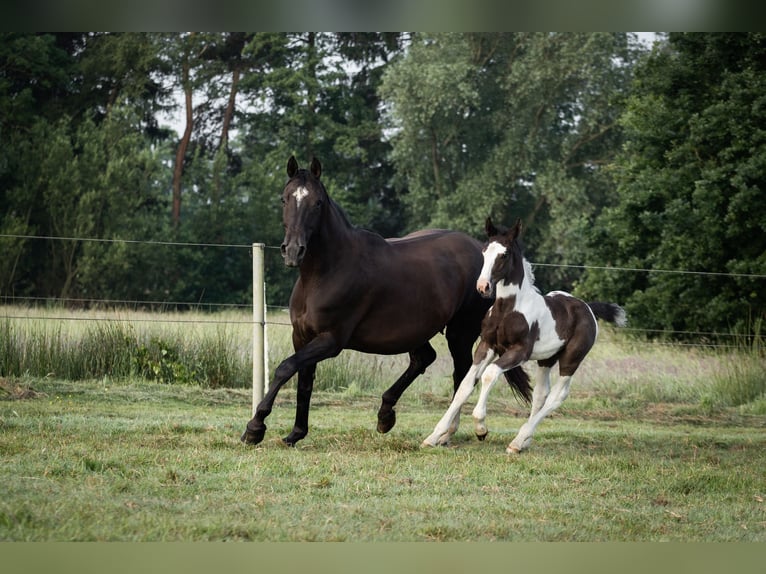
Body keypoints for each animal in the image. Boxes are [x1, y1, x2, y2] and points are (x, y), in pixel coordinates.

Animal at [243, 159, 532, 450]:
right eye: (284, 199)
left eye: (317, 202)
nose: (293, 251)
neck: (325, 273)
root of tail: (481, 255)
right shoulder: (302, 336)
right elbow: (303, 382)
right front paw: (295, 433)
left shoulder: (330, 340)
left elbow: (285, 368)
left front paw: (255, 428)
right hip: (416, 330)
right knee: (424, 359)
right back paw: (385, 415)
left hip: (460, 333)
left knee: (462, 375)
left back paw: (446, 433)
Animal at [424, 217, 628, 454]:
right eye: (484, 251)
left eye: (504, 254)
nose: (483, 287)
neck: (508, 309)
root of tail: (587, 307)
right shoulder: (487, 345)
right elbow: (465, 386)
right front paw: (433, 436)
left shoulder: (519, 352)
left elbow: (489, 374)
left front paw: (481, 428)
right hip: (546, 359)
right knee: (541, 394)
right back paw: (523, 441)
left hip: (571, 359)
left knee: (557, 396)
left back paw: (517, 441)